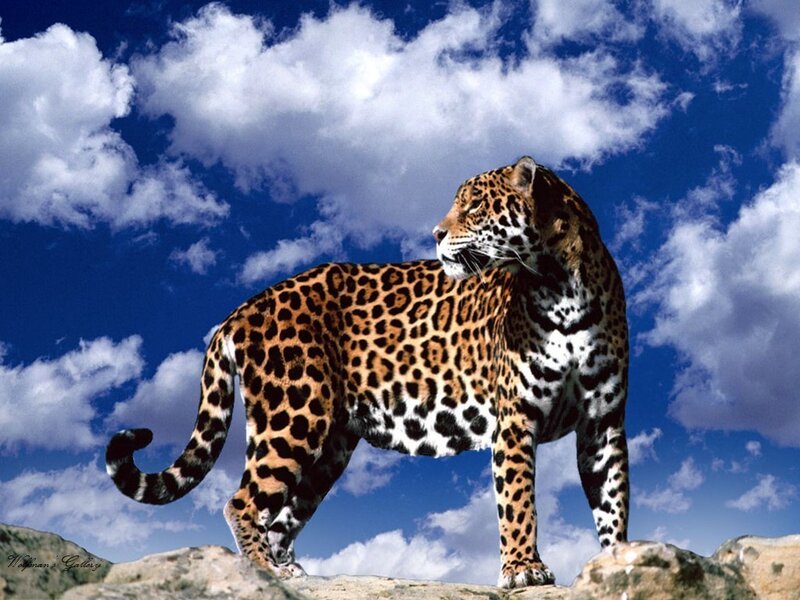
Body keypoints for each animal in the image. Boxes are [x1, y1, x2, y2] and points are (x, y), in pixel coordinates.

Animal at [107, 156, 630, 588]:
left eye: (475, 205)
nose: (436, 234)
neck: (561, 286)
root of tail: (242, 308)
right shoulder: (516, 418)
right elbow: (518, 498)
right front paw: (523, 569)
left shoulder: (602, 423)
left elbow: (613, 501)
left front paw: (620, 563)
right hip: (293, 415)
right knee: (243, 501)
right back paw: (261, 573)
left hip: (330, 447)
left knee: (284, 513)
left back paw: (287, 569)